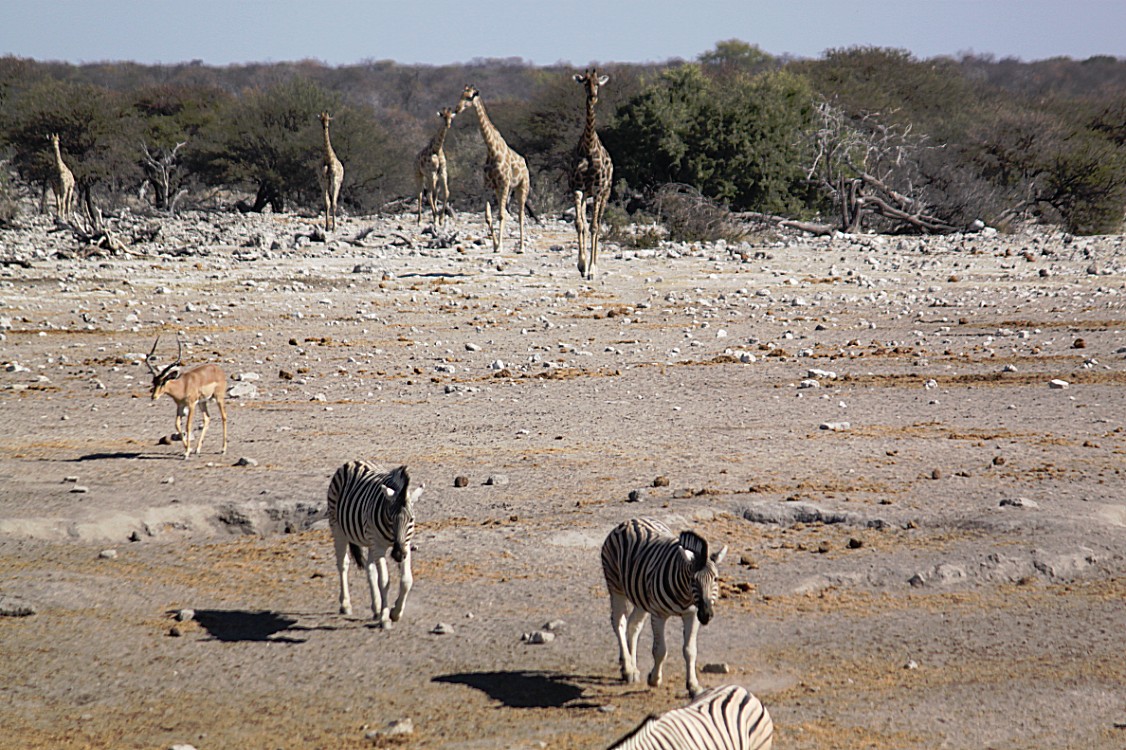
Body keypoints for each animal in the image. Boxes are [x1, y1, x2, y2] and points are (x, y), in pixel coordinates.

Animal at [326, 461, 423, 626]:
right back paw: (346, 604)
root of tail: (354, 462)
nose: (398, 554)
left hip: (371, 541)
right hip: (337, 527)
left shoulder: (405, 544)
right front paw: (385, 618)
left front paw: (395, 612)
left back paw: (376, 608)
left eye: (411, 519)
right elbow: (384, 581)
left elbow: (406, 580)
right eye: (390, 518)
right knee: (343, 564)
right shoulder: (379, 546)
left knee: (370, 568)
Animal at [452, 84, 531, 252]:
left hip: (522, 187)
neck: (492, 149)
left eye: (469, 97)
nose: (457, 109)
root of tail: (525, 164)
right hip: (501, 190)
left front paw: (500, 246)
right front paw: (495, 245)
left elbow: (501, 215)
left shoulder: (505, 183)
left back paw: (521, 247)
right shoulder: (488, 186)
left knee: (521, 215)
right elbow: (488, 217)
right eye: (460, 95)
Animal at [599, 513, 729, 693]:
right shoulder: (659, 615)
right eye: (693, 580)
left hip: (641, 596)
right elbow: (660, 650)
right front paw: (654, 679)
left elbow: (690, 650)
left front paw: (693, 685)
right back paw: (628, 669)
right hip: (616, 586)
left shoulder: (692, 615)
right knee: (619, 622)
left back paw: (633, 667)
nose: (706, 615)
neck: (685, 595)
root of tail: (631, 520)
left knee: (633, 625)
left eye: (715, 579)